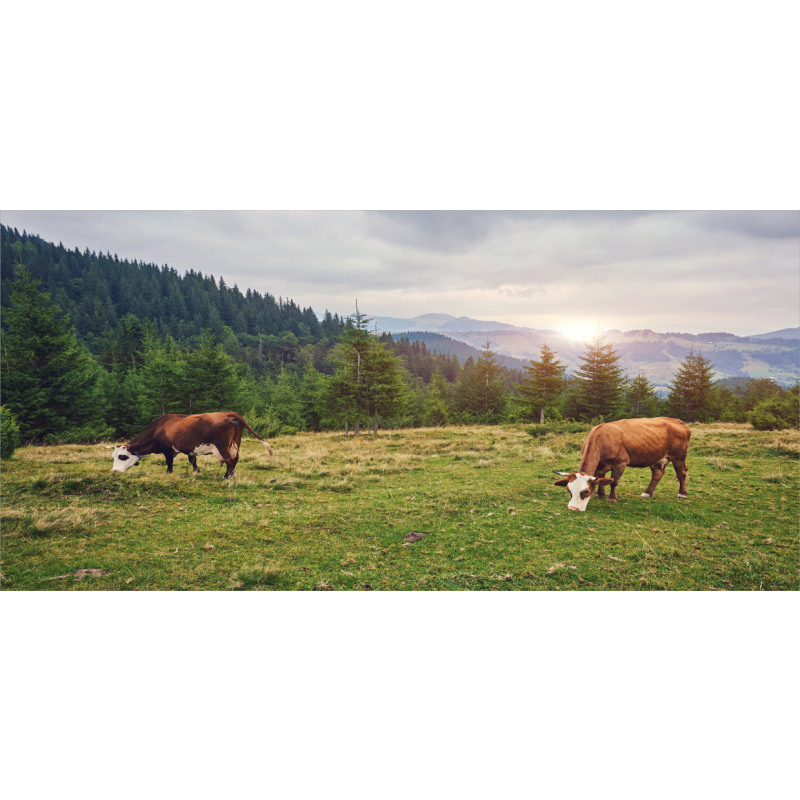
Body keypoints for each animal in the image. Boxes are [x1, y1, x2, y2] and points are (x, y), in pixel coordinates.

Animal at [109, 410, 274, 478]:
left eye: (122, 456)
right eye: (113, 456)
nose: (114, 471)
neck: (158, 428)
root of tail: (228, 413)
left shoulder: (167, 449)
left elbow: (169, 462)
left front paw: (169, 473)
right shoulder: (189, 449)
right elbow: (192, 460)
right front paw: (197, 471)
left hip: (222, 445)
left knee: (229, 459)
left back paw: (227, 477)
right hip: (235, 443)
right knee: (235, 459)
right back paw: (231, 474)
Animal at [552, 418, 692, 512]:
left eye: (585, 491)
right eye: (569, 490)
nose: (573, 508)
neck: (602, 440)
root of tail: (676, 420)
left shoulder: (620, 463)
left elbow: (613, 481)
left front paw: (612, 498)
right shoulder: (600, 465)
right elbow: (601, 479)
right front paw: (600, 494)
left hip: (678, 456)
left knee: (681, 474)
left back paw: (682, 493)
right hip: (657, 458)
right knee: (657, 474)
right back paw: (647, 493)